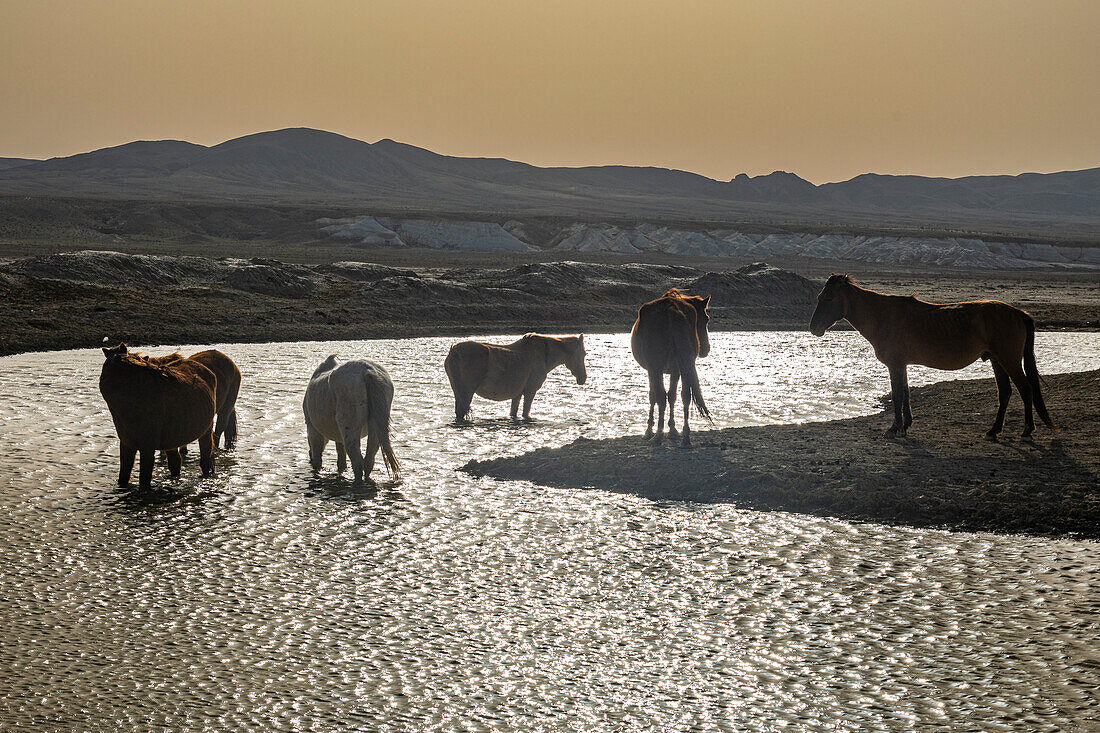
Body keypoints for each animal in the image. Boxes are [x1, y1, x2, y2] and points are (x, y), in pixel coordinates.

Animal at [99, 341, 218, 484]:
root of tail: (209, 371)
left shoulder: (147, 448)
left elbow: (144, 481)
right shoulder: (127, 444)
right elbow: (123, 477)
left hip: (206, 430)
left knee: (205, 460)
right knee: (176, 463)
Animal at [442, 332, 589, 422]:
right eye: (584, 353)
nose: (583, 378)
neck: (544, 355)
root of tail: (453, 351)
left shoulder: (517, 394)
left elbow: (514, 413)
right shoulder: (530, 391)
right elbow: (525, 413)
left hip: (458, 393)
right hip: (467, 393)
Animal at [629, 288, 712, 449]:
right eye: (706, 318)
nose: (706, 349)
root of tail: (671, 309)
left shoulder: (652, 370)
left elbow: (653, 396)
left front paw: (649, 430)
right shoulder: (676, 370)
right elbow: (672, 396)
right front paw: (673, 429)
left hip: (656, 367)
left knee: (661, 396)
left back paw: (658, 435)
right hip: (685, 365)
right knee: (685, 396)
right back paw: (685, 436)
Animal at [809, 270, 1056, 435]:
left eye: (829, 298)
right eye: (819, 296)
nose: (814, 328)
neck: (882, 316)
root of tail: (1017, 312)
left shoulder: (895, 364)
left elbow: (897, 395)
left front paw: (895, 428)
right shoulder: (902, 365)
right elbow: (905, 393)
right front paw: (906, 424)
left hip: (1009, 360)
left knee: (1025, 389)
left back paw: (1027, 429)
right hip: (997, 360)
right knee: (1004, 392)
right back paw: (994, 430)